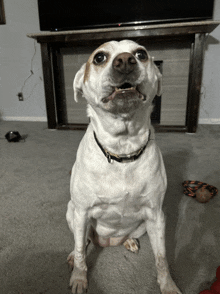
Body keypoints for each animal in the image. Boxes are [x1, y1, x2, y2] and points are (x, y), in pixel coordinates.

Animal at [66, 39, 181, 294]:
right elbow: (80, 253)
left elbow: (162, 258)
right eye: (99, 57)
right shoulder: (82, 212)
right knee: (83, 241)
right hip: (72, 213)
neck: (122, 150)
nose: (125, 61)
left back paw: (128, 240)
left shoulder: (156, 215)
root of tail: (108, 242)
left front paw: (167, 285)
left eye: (141, 54)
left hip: (143, 225)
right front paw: (79, 278)